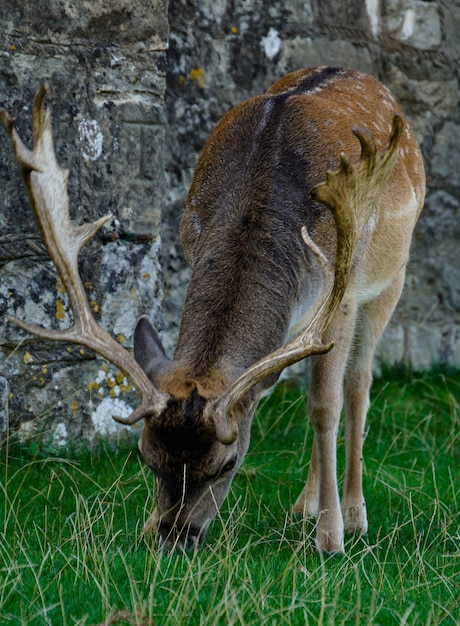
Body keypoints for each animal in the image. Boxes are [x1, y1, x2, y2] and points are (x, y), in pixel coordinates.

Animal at [0, 67, 426, 552]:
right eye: (146, 456)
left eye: (228, 463)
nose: (172, 538)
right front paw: (146, 522)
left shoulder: (344, 296)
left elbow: (325, 405)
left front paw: (330, 537)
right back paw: (304, 504)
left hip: (391, 278)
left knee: (358, 384)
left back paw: (353, 513)